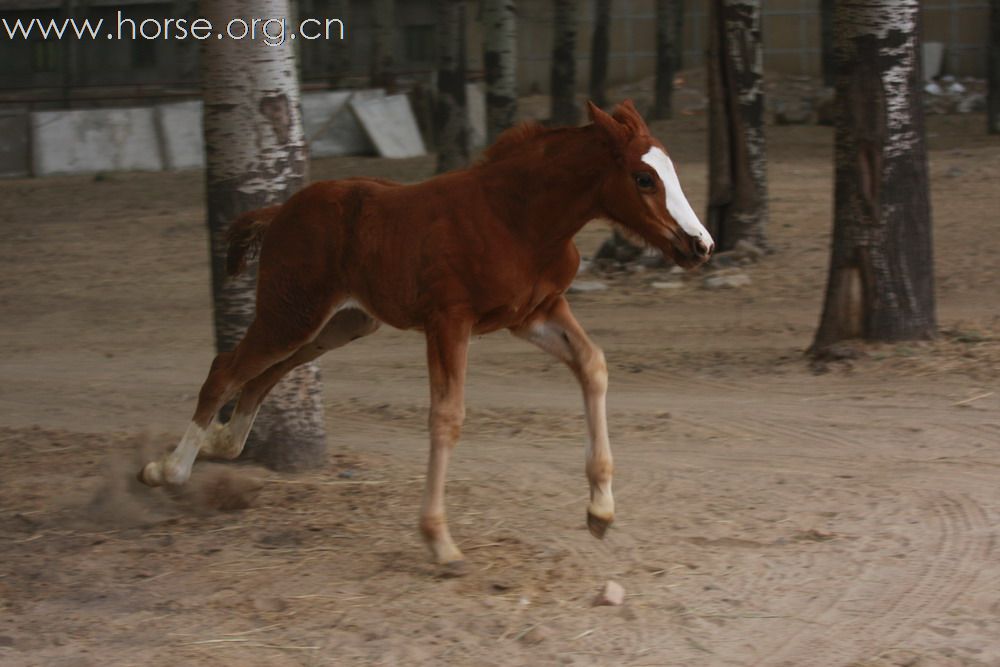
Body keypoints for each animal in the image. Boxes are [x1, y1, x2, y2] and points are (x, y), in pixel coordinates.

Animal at [143, 100, 720, 568]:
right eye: (644, 179)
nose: (700, 245)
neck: (518, 218)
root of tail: (281, 208)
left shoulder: (533, 312)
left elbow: (593, 363)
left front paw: (600, 509)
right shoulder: (449, 321)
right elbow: (447, 416)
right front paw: (439, 541)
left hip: (340, 323)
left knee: (267, 374)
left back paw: (221, 442)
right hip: (291, 314)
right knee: (228, 368)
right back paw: (168, 470)